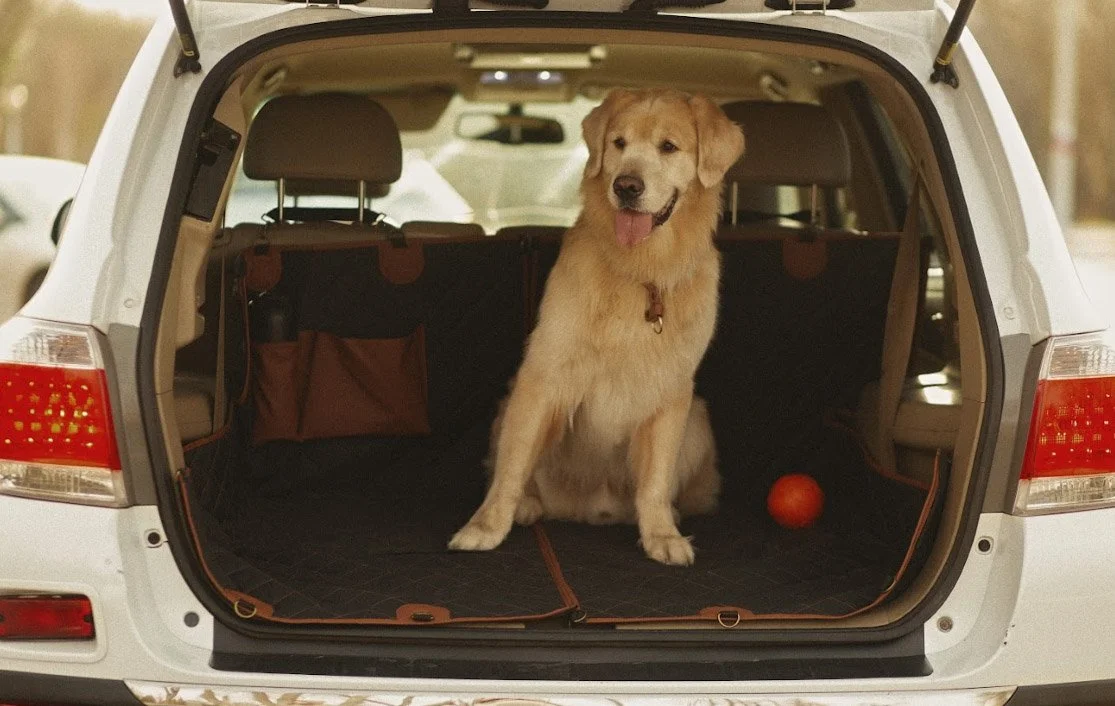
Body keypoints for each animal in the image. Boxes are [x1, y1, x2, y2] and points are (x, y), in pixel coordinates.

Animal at [448, 88, 744, 564]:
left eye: (668, 147)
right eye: (619, 143)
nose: (626, 186)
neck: (642, 270)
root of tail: (592, 509)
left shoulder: (673, 390)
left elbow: (655, 480)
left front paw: (661, 534)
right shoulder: (542, 375)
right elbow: (511, 467)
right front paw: (485, 528)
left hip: (697, 418)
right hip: (510, 405)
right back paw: (528, 505)